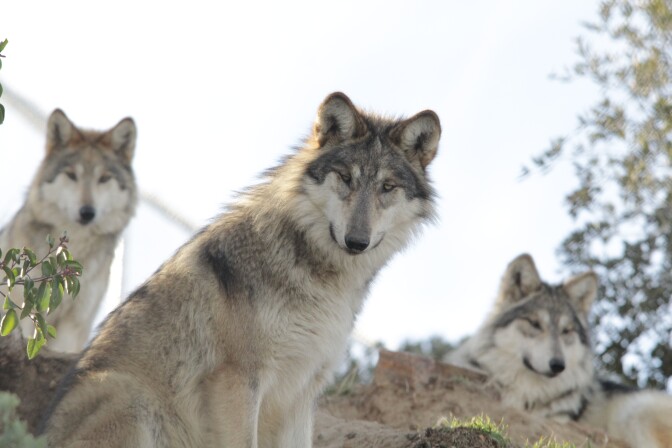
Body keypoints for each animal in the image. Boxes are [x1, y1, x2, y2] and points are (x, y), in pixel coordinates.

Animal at [41, 92, 441, 447]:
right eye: (345, 178)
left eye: (387, 187)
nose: (357, 241)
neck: (318, 276)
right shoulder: (238, 382)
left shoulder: (302, 393)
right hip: (131, 396)